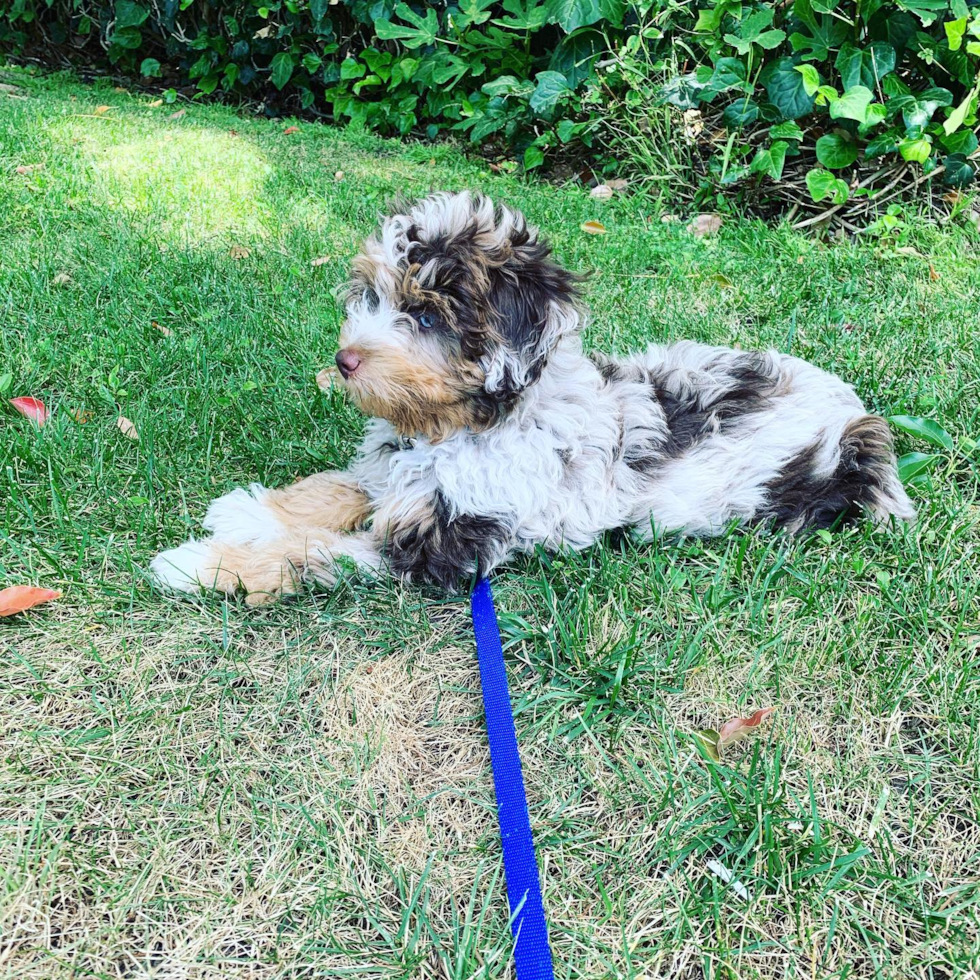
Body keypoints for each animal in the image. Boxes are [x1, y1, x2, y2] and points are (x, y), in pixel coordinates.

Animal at [149, 189, 916, 604]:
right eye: (372, 296)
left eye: (426, 316)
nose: (344, 361)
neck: (460, 427)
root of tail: (856, 420)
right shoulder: (404, 470)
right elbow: (338, 488)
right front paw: (249, 510)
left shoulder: (453, 542)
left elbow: (322, 552)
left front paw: (205, 563)